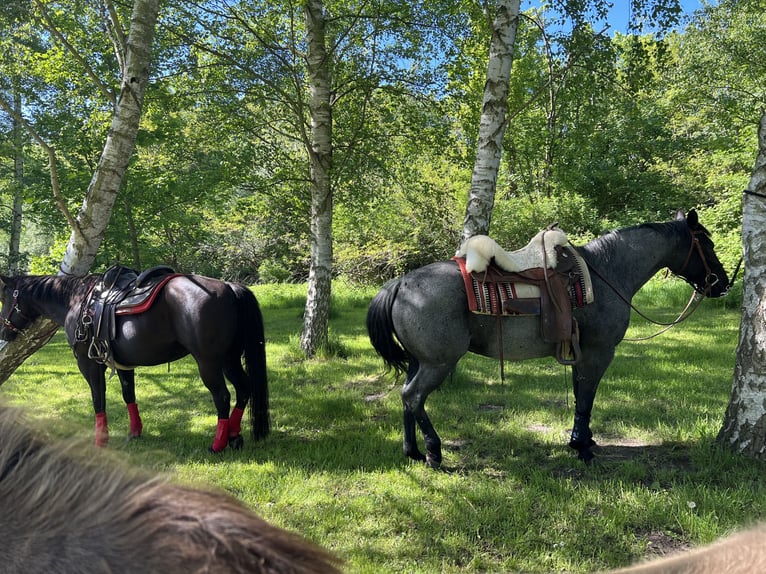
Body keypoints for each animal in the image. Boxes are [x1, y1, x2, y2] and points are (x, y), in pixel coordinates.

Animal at [0, 272, 270, 454]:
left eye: (4, 298)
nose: (4, 333)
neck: (76, 301)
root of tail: (229, 287)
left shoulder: (88, 363)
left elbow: (98, 399)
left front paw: (100, 440)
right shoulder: (123, 364)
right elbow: (129, 395)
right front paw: (134, 432)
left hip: (209, 363)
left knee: (222, 396)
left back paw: (217, 444)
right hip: (229, 359)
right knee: (244, 389)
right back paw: (235, 437)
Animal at [370, 212, 732, 468]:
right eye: (707, 245)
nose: (724, 282)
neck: (606, 272)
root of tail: (400, 283)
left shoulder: (580, 352)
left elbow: (581, 393)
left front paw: (583, 440)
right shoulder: (599, 352)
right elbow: (587, 398)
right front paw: (582, 447)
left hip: (418, 361)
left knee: (406, 397)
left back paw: (413, 451)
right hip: (438, 362)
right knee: (414, 396)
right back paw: (434, 452)